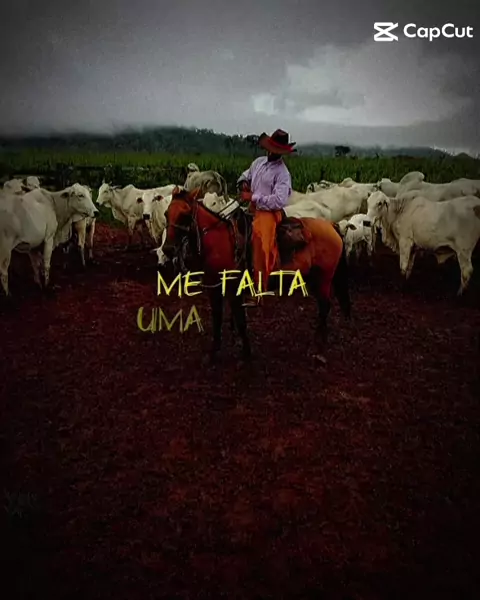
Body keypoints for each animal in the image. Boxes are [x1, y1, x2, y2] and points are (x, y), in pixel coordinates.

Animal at [161, 186, 351, 365]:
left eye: (185, 214)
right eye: (166, 213)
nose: (168, 249)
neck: (218, 243)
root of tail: (332, 226)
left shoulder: (234, 290)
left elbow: (240, 320)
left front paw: (245, 354)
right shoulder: (214, 289)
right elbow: (217, 319)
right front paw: (213, 353)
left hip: (324, 278)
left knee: (325, 306)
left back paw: (318, 347)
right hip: (314, 279)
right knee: (323, 306)